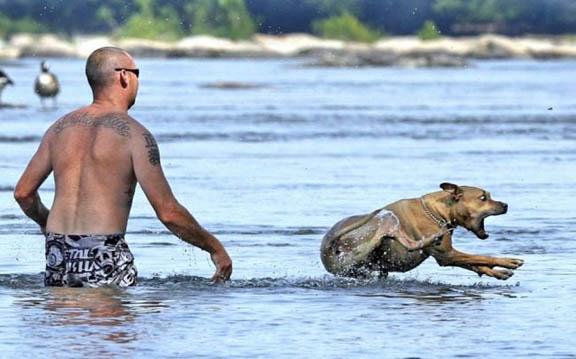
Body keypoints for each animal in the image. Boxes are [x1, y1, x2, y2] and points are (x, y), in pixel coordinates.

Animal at [322, 183, 524, 282]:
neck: (438, 212)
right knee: (406, 241)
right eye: (483, 198)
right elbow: (481, 257)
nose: (506, 205)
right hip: (384, 219)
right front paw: (508, 262)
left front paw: (498, 273)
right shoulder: (447, 254)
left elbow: (475, 263)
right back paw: (431, 238)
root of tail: (326, 249)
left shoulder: (448, 256)